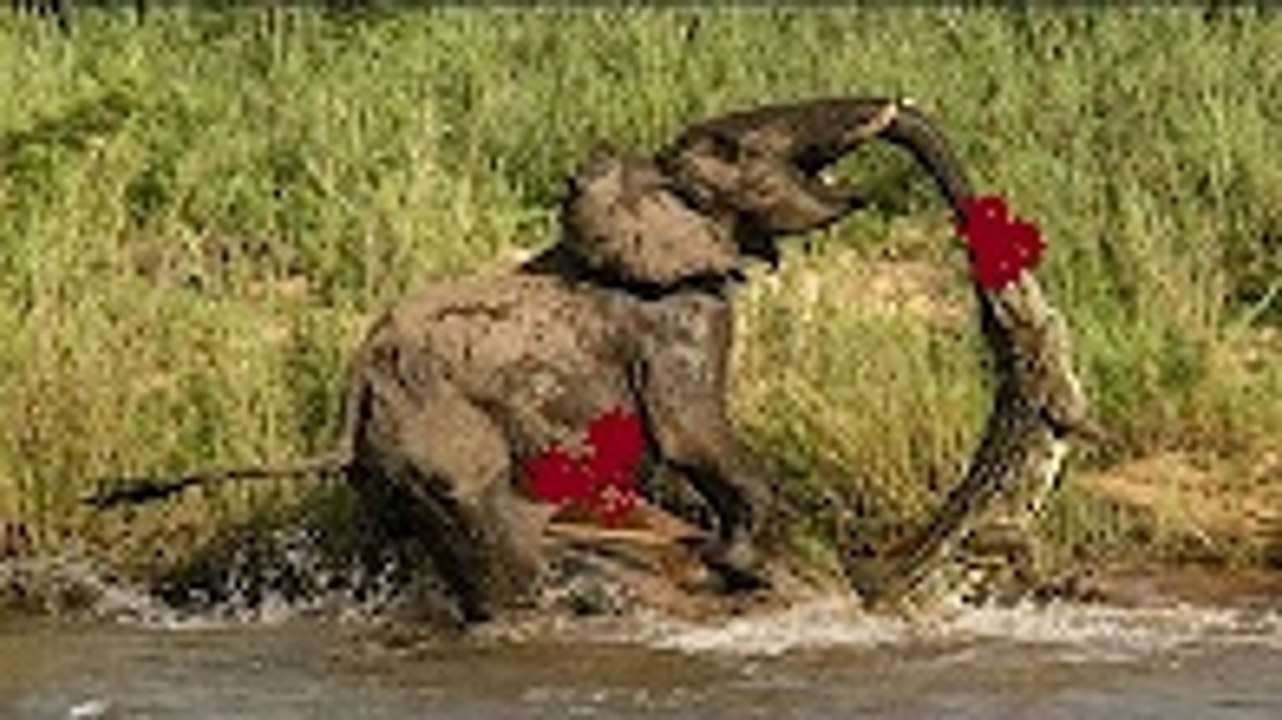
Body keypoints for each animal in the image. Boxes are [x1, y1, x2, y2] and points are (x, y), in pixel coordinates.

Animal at [91, 97, 982, 624]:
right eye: (729, 147)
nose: (894, 110)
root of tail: (353, 396)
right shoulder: (676, 317)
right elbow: (695, 437)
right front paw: (744, 566)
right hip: (438, 443)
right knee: (503, 554)